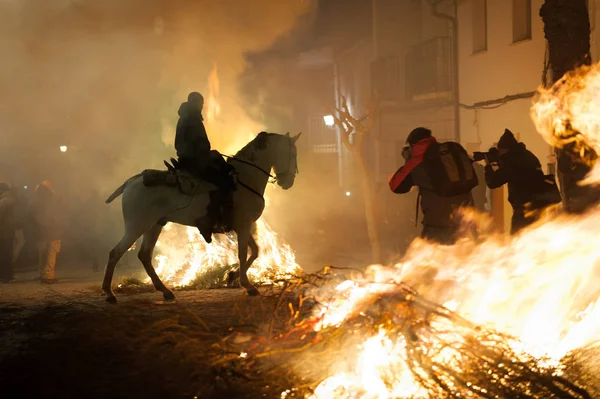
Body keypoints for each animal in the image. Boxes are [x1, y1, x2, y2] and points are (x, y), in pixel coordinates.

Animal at [103, 132, 302, 304]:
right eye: (293, 154)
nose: (288, 182)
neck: (245, 180)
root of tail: (131, 182)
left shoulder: (241, 226)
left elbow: (254, 251)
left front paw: (233, 276)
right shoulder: (244, 226)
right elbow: (243, 253)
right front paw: (247, 285)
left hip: (154, 226)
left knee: (144, 255)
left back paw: (165, 291)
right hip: (137, 226)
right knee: (116, 253)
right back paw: (109, 293)